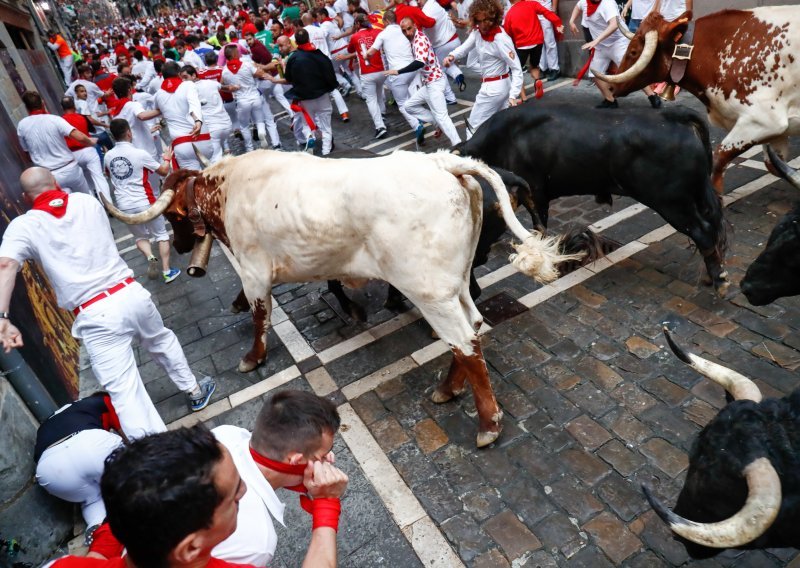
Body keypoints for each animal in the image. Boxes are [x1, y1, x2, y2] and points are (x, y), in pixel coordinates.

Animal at [460, 103, 728, 292]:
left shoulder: (535, 194)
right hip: (696, 196)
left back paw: (720, 281)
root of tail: (673, 114)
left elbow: (539, 229)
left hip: (673, 203)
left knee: (703, 231)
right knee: (714, 226)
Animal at [592, 5, 800, 193]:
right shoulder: (777, 131)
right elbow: (773, 164)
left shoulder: (764, 120)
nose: (611, 88)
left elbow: (718, 160)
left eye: (634, 51)